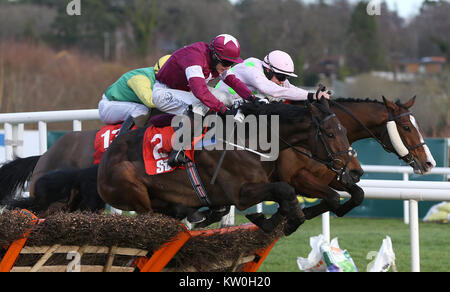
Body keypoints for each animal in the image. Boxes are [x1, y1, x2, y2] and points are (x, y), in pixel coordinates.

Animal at [96, 99, 362, 236]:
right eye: (330, 134)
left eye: (344, 131)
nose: (354, 171)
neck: (250, 140)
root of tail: (106, 155)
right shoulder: (242, 193)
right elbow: (285, 191)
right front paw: (290, 220)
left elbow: (292, 194)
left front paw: (276, 219)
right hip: (134, 192)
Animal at [278, 95, 436, 219]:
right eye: (406, 127)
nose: (429, 163)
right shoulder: (297, 177)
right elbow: (333, 197)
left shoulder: (338, 175)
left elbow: (357, 194)